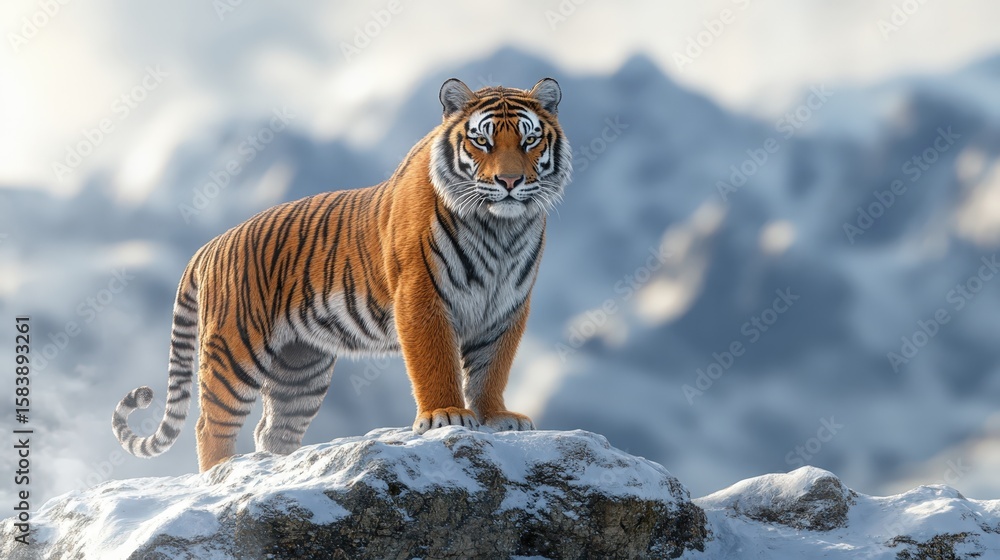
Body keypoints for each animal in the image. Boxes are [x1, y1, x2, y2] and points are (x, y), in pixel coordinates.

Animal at [112, 78, 571, 472]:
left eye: (530, 140)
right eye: (481, 140)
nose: (509, 181)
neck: (500, 229)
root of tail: (211, 245)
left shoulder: (507, 306)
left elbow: (493, 367)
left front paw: (497, 417)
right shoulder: (422, 296)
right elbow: (435, 361)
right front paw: (446, 415)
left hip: (301, 370)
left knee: (273, 430)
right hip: (234, 350)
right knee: (212, 424)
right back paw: (220, 476)